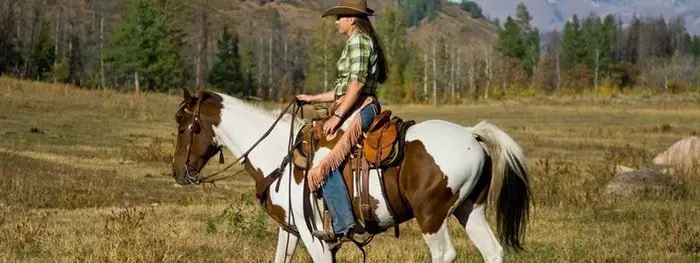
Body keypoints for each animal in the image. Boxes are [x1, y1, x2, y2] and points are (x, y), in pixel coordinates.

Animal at [174, 89, 532, 263]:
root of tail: (472, 134)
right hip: (471, 210)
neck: (280, 156)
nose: (178, 172)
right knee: (493, 251)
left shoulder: (314, 236)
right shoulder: (290, 230)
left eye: (185, 125)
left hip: (431, 216)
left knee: (444, 254)